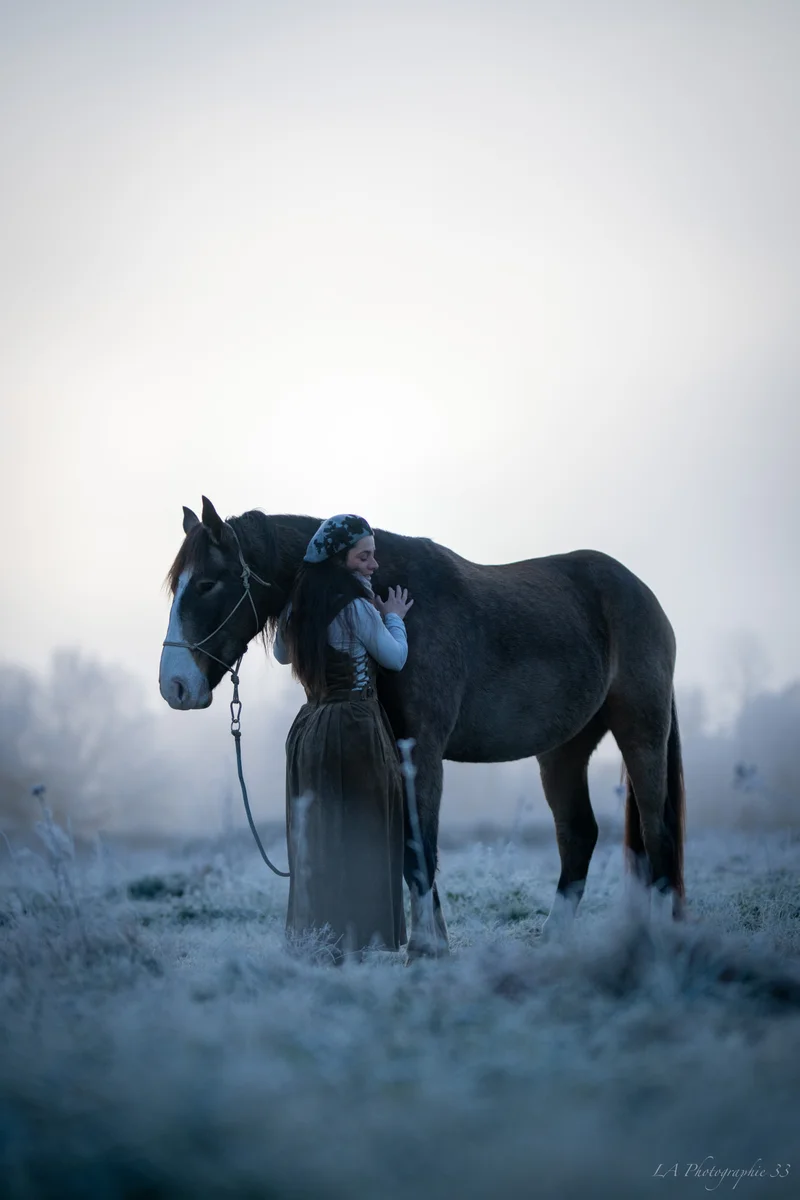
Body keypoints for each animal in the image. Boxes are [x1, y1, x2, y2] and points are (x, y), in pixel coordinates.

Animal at [159, 496, 685, 958]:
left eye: (207, 584)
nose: (175, 687)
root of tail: (643, 594)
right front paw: (431, 942)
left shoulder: (422, 750)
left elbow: (419, 849)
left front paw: (426, 948)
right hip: (564, 748)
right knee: (578, 835)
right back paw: (556, 940)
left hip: (641, 730)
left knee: (656, 830)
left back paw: (661, 937)